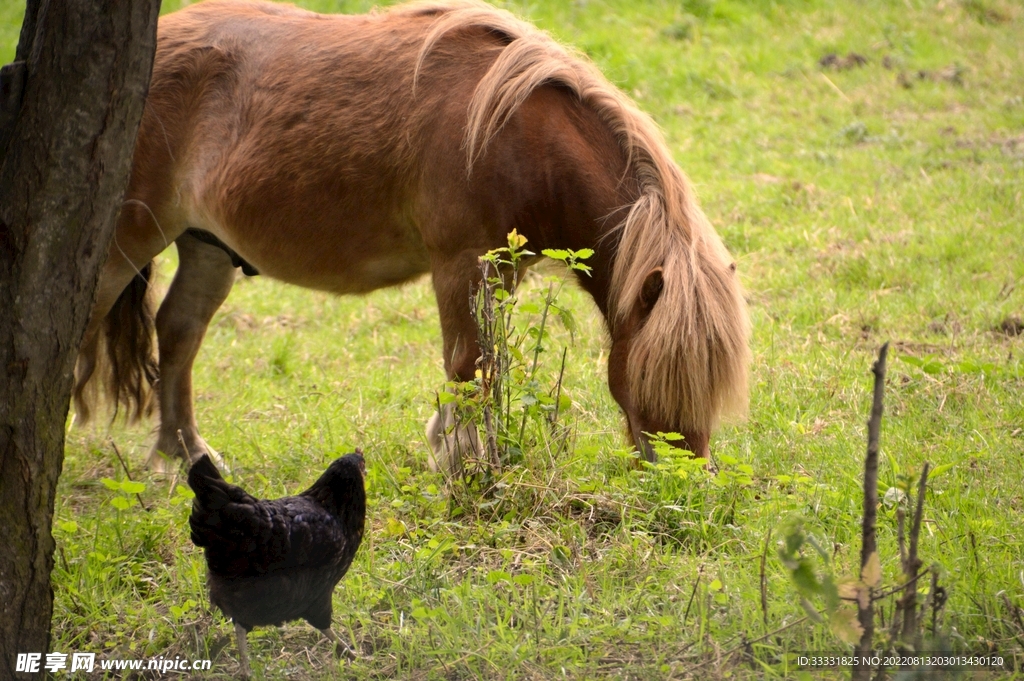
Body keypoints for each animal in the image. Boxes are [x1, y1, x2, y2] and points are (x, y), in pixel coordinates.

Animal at [73, 0, 751, 473]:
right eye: (657, 377)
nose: (685, 479)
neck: (510, 130)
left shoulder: (504, 269)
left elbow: (488, 365)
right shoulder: (461, 265)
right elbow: (468, 364)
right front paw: (466, 460)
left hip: (207, 247)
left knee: (178, 332)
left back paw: (186, 455)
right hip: (125, 245)